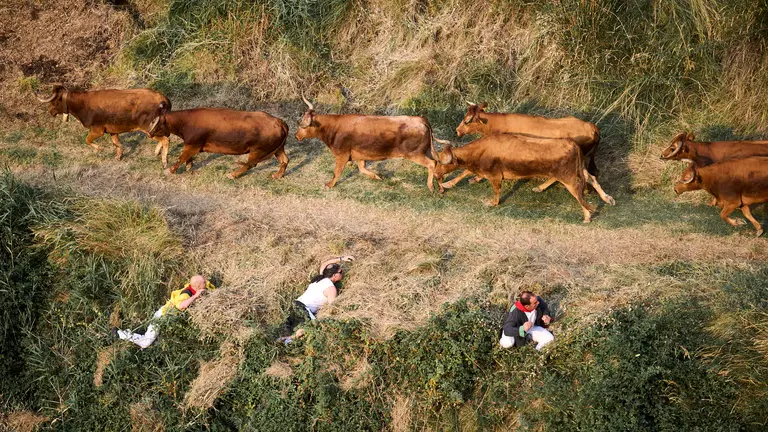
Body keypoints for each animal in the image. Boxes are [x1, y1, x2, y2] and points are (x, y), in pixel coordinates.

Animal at [35, 85, 172, 167]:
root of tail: (163, 99)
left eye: (54, 101)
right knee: (164, 139)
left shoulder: (97, 130)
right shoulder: (113, 130)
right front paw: (119, 156)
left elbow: (87, 140)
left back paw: (164, 161)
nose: (50, 111)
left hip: (149, 129)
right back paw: (157, 153)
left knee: (165, 140)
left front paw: (100, 149)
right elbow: (117, 144)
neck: (83, 104)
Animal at [148, 108, 289, 180]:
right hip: (278, 149)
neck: (186, 122)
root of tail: (279, 121)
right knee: (285, 160)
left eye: (157, 124)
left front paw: (170, 170)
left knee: (251, 164)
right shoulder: (191, 145)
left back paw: (232, 174)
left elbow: (181, 157)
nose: (150, 133)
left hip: (258, 150)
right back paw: (278, 175)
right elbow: (187, 158)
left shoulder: (193, 145)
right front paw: (188, 167)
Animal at [295, 95, 445, 192]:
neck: (333, 128)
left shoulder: (342, 155)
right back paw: (441, 188)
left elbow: (337, 172)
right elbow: (362, 169)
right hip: (426, 150)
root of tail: (422, 120)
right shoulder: (360, 156)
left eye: (303, 126)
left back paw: (431, 187)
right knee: (437, 163)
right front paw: (378, 176)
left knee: (432, 164)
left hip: (414, 153)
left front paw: (329, 185)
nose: (296, 136)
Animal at [433, 134, 615, 223]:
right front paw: (449, 183)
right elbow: (465, 172)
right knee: (591, 178)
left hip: (568, 176)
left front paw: (492, 203)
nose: (435, 174)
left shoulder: (494, 175)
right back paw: (607, 198)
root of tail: (573, 144)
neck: (480, 151)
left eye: (441, 162)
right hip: (576, 169)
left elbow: (496, 190)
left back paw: (587, 216)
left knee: (578, 191)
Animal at [444, 102, 601, 191]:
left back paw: (539, 188)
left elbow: (467, 170)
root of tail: (591, 127)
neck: (497, 124)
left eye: (466, 121)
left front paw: (449, 183)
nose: (457, 131)